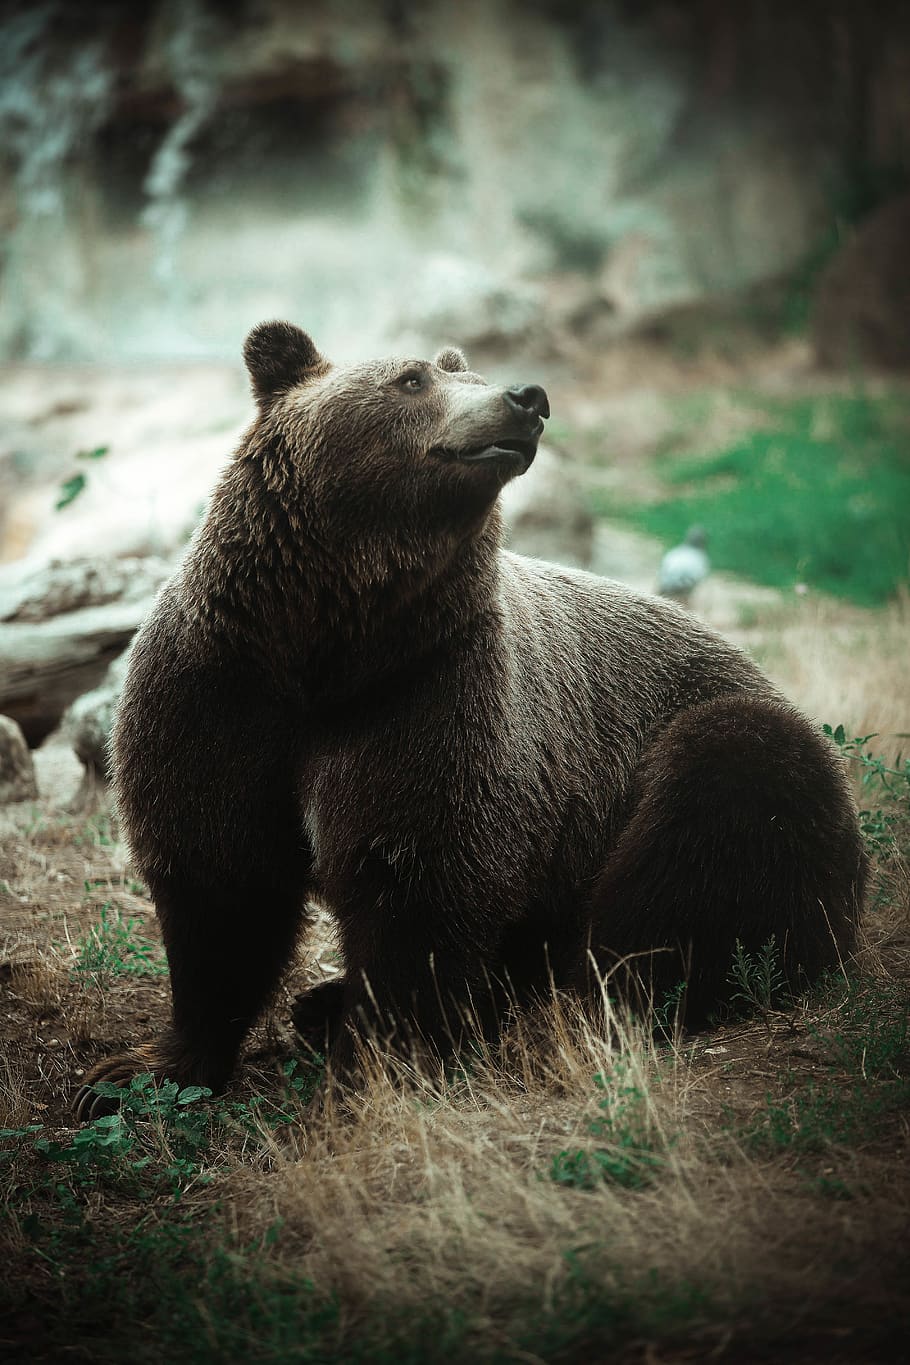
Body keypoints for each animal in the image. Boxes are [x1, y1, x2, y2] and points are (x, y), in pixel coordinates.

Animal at [74, 321, 866, 1119]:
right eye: (412, 378)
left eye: (466, 372)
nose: (527, 397)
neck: (326, 646)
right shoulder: (221, 694)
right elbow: (220, 886)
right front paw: (134, 1073)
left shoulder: (431, 697)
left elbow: (416, 881)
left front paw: (380, 1066)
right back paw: (325, 1004)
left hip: (706, 755)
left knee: (711, 827)